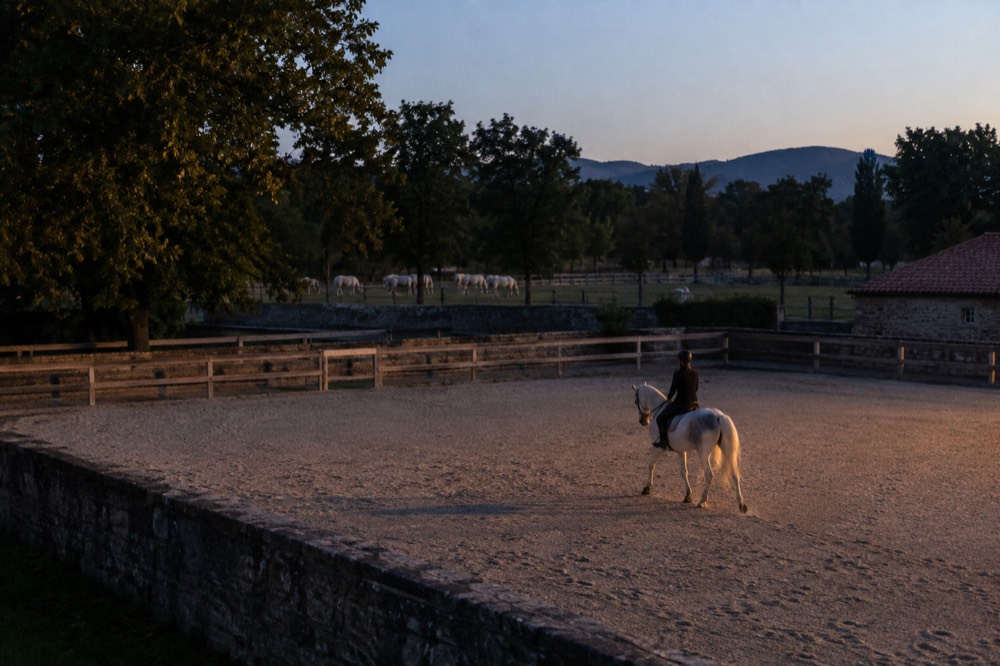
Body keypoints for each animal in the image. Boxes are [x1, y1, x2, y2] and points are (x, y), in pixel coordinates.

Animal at [632, 383, 747, 513]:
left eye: (636, 401)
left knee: (709, 475)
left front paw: (647, 488)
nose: (643, 421)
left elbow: (651, 465)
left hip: (703, 454)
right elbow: (684, 472)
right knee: (735, 474)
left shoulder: (658, 448)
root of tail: (719, 416)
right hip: (727, 451)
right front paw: (687, 495)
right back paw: (741, 505)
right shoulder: (681, 451)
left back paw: (702, 501)